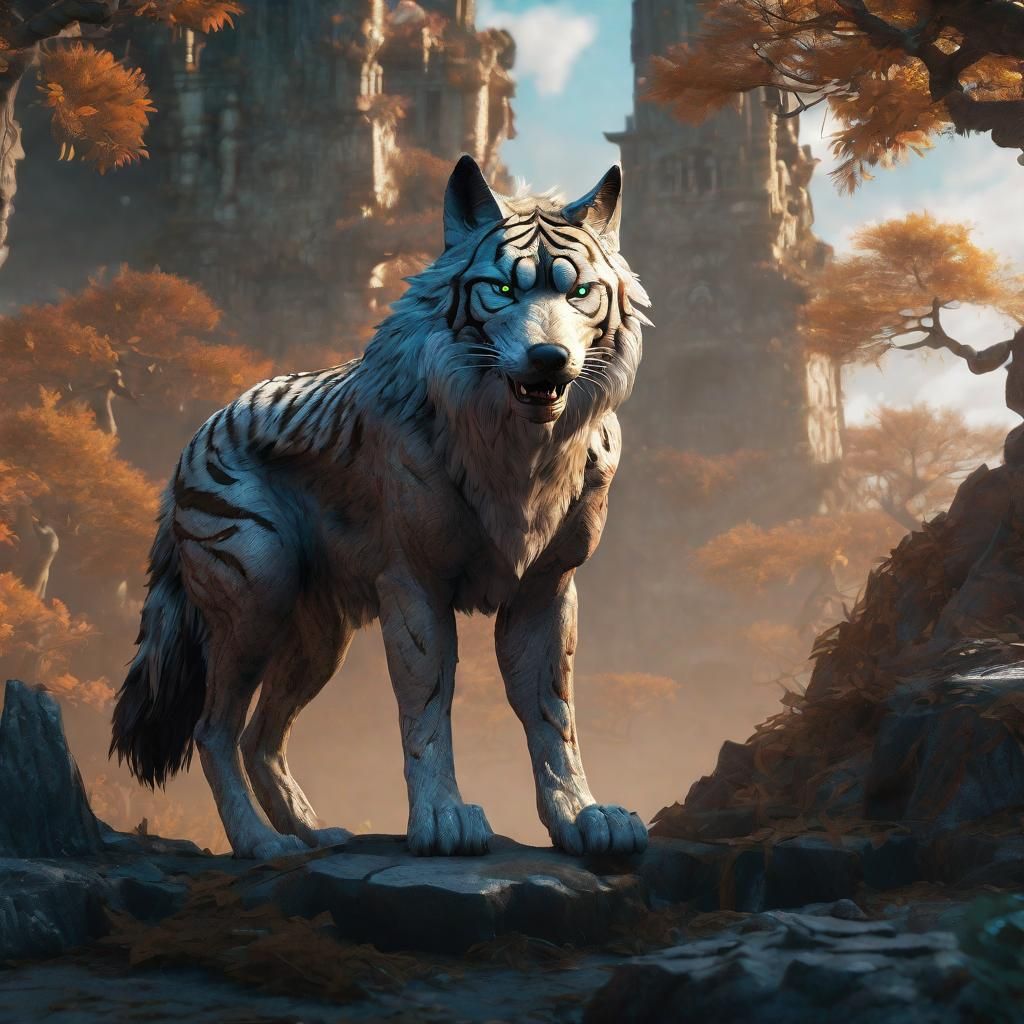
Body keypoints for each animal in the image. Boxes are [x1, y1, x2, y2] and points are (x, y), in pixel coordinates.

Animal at [110, 156, 652, 860]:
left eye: (579, 292)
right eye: (503, 290)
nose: (549, 359)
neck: (519, 454)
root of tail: (195, 438)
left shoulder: (546, 589)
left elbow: (553, 714)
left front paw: (581, 817)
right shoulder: (415, 587)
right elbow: (427, 709)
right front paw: (443, 820)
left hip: (318, 640)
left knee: (263, 736)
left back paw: (316, 833)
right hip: (256, 603)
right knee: (214, 728)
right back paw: (262, 844)